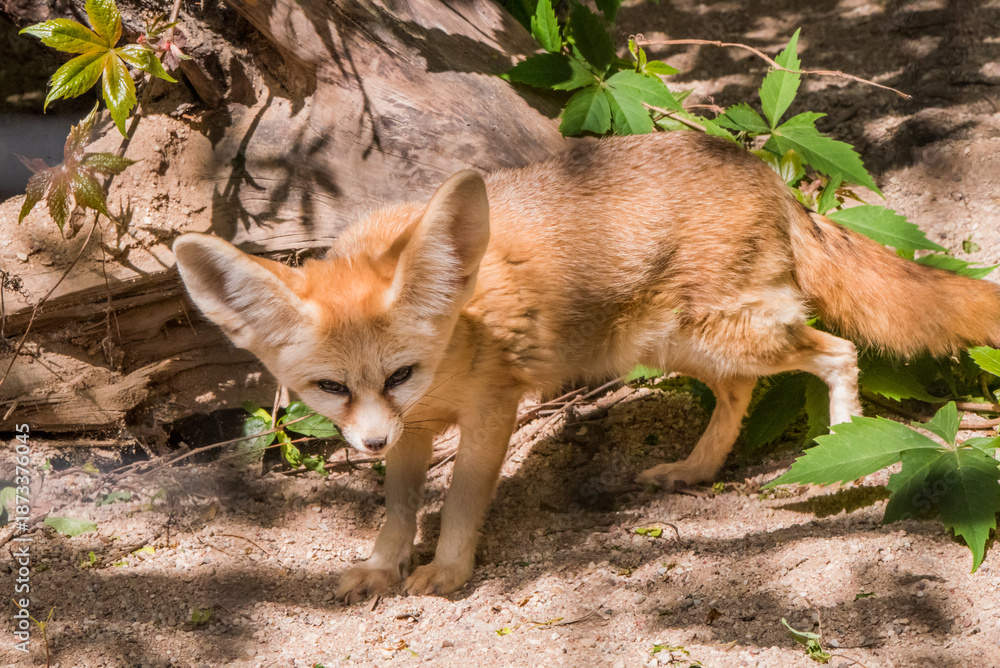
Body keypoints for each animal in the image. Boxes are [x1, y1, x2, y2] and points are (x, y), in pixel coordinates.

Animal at [173, 132, 1000, 601]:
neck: (454, 351)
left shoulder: (489, 411)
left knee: (837, 351)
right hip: (679, 346)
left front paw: (447, 572)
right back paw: (696, 469)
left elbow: (463, 501)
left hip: (727, 336)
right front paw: (383, 569)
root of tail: (759, 166)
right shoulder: (415, 432)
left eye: (400, 372)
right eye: (331, 389)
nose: (369, 442)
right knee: (740, 392)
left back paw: (844, 444)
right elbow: (398, 510)